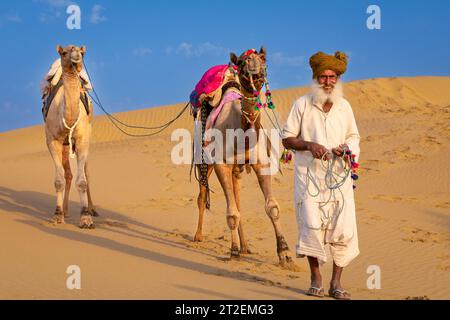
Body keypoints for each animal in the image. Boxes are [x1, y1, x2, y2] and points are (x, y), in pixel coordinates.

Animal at [44, 44, 97, 228]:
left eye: (82, 52)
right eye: (64, 53)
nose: (76, 56)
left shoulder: (82, 140)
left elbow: (82, 181)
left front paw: (86, 217)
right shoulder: (52, 140)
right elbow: (59, 180)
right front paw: (57, 215)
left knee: (86, 172)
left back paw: (93, 209)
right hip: (65, 145)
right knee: (67, 174)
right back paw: (65, 211)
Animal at [193, 47, 298, 270]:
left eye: (263, 58)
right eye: (241, 62)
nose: (253, 66)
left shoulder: (261, 163)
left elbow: (271, 207)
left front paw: (285, 254)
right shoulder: (221, 165)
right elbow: (231, 212)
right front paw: (233, 252)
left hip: (237, 169)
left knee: (237, 199)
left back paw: (246, 246)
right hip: (204, 160)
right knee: (203, 194)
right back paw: (198, 236)